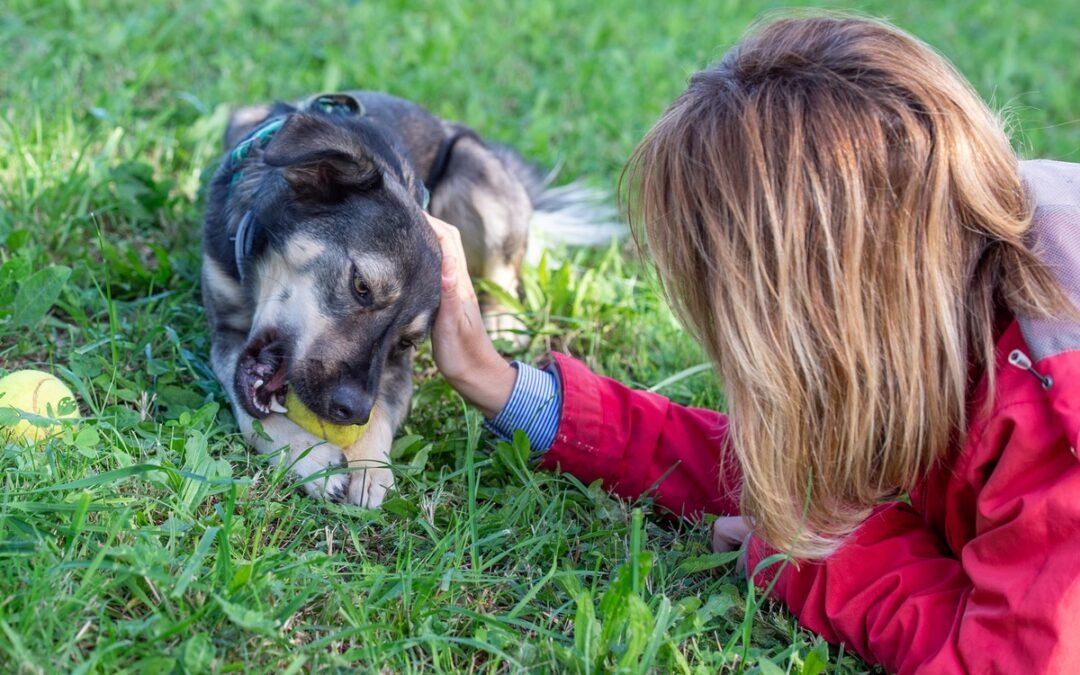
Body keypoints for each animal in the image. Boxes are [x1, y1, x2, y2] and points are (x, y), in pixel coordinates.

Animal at [198, 89, 613, 505]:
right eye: (361, 286)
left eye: (406, 342)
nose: (353, 411)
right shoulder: (225, 332)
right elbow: (252, 409)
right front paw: (307, 452)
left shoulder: (396, 371)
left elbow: (384, 410)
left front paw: (370, 466)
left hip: (476, 175)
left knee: (506, 275)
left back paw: (502, 321)